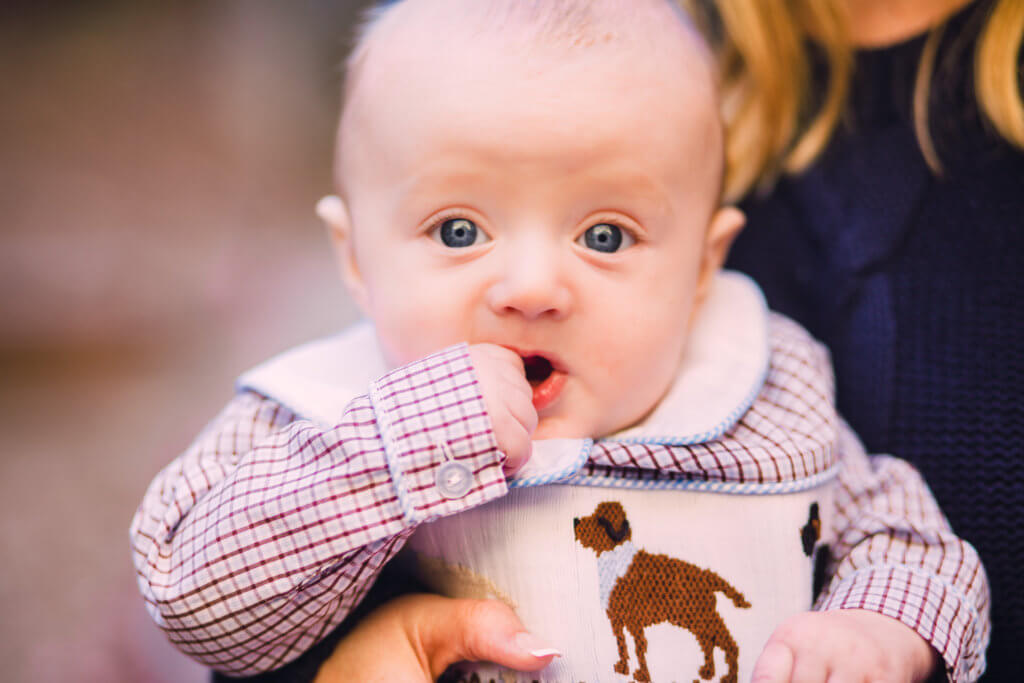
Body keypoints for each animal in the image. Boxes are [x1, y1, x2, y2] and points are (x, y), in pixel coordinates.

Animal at [573, 501, 749, 683]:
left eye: (600, 520)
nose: (575, 521)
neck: (615, 559)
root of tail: (707, 575)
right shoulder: (616, 620)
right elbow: (621, 645)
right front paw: (623, 668)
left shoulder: (634, 623)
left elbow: (638, 648)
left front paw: (643, 675)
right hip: (695, 621)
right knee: (708, 642)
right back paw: (708, 671)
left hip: (703, 618)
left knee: (729, 644)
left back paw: (730, 676)